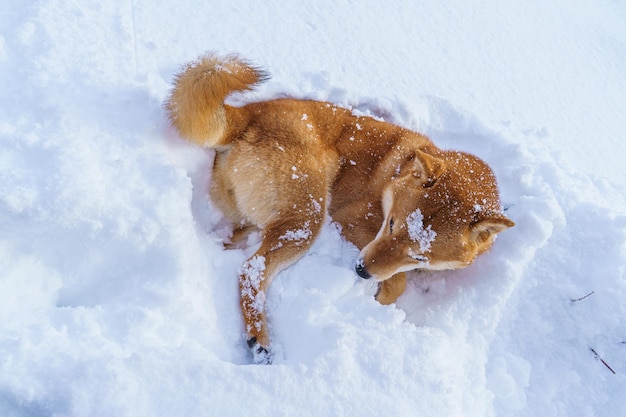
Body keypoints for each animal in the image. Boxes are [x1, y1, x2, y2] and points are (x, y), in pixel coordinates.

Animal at [165, 52, 512, 364]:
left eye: (420, 256)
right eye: (390, 224)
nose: (360, 271)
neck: (398, 173)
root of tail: (250, 114)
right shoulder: (350, 221)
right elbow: (398, 283)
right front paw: (381, 296)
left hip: (264, 219)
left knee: (235, 246)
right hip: (309, 217)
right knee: (252, 270)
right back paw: (259, 338)